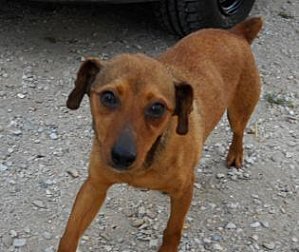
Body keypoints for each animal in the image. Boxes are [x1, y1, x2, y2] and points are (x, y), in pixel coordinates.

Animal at [57, 17, 264, 252]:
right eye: (108, 97)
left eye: (157, 108)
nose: (122, 157)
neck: (143, 165)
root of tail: (235, 33)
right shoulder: (94, 186)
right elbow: (69, 234)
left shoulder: (184, 193)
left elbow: (172, 232)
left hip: (239, 111)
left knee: (238, 132)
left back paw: (235, 154)